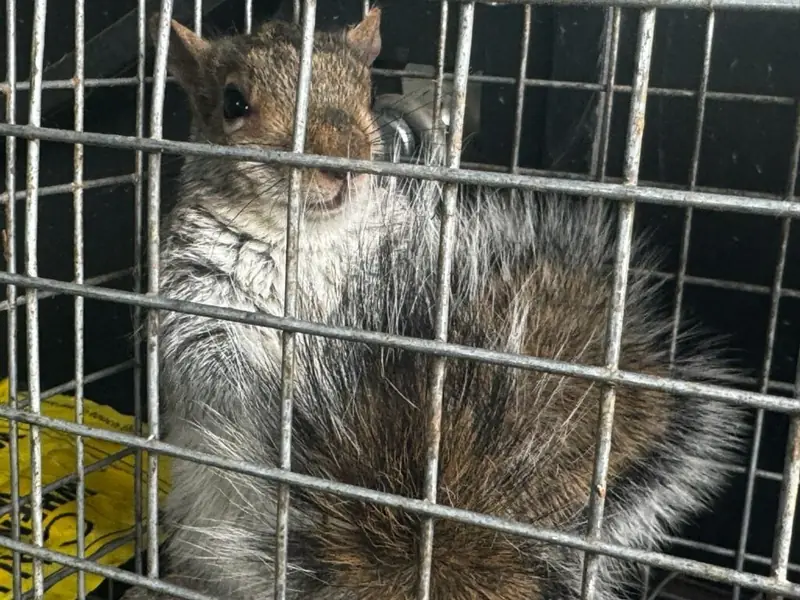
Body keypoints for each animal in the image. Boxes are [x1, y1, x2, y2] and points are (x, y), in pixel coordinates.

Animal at [119, 8, 747, 600]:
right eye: (235, 102)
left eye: (365, 90)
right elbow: (206, 364)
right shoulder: (195, 290)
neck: (309, 238)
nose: (341, 162)